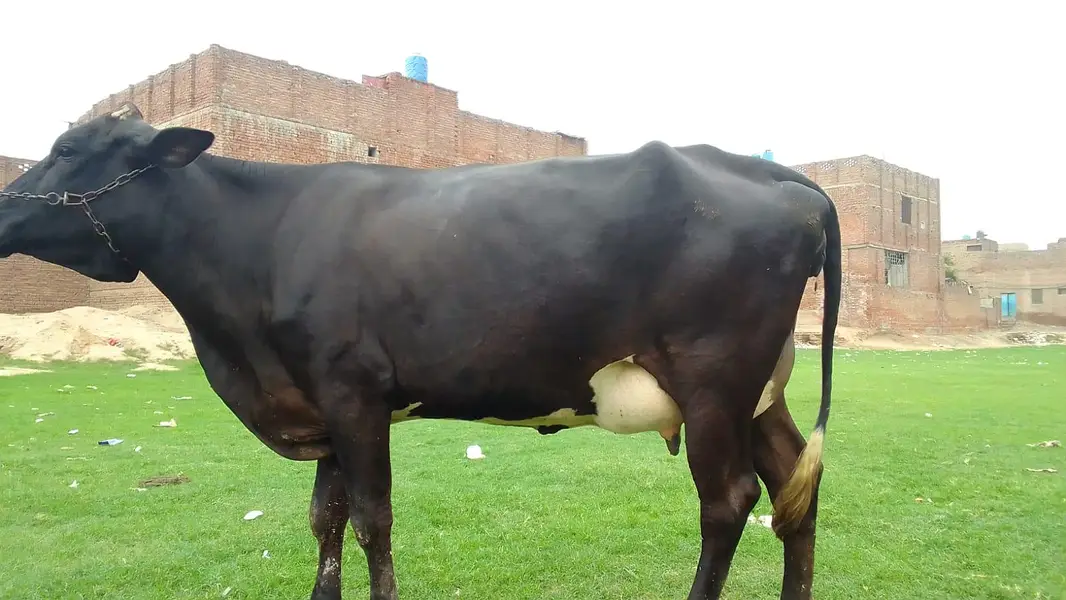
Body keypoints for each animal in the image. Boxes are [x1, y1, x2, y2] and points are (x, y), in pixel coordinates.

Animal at [0, 102, 840, 600]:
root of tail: (770, 170)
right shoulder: (320, 401)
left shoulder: (353, 392)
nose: (3, 208)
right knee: (794, 486)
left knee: (728, 501)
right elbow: (326, 518)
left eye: (70, 148)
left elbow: (371, 519)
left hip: (712, 382)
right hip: (758, 390)